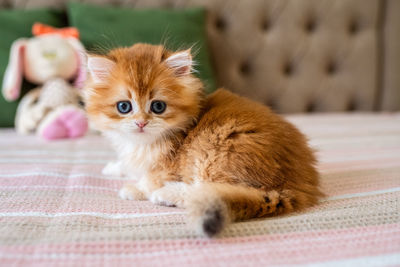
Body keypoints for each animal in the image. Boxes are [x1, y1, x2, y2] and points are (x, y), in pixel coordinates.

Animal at [84, 44, 322, 239]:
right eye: (124, 107)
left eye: (158, 106)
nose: (141, 123)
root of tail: (296, 187)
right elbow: (128, 164)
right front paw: (114, 167)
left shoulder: (167, 166)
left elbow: (149, 179)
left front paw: (135, 189)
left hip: (213, 148)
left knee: (207, 190)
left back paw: (165, 194)